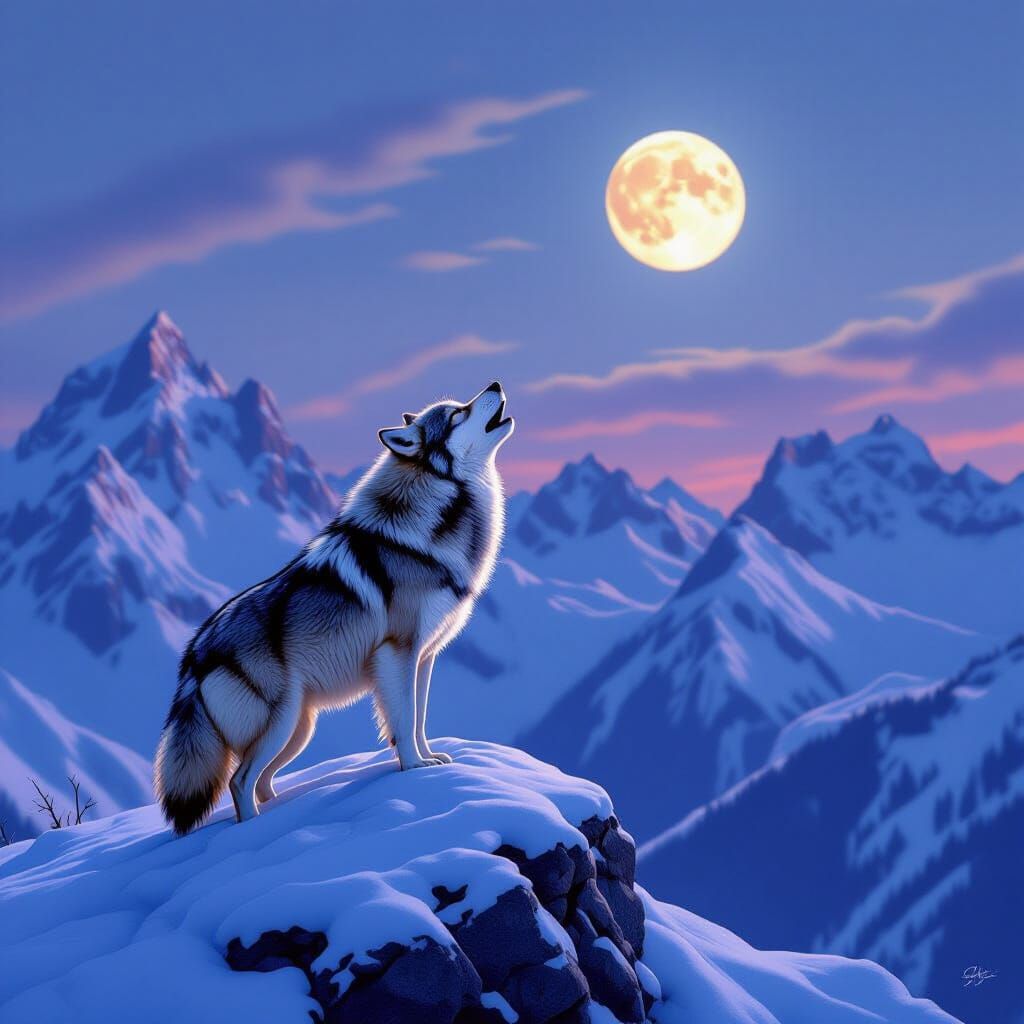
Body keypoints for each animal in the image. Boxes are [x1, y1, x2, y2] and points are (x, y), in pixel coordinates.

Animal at [154, 381, 513, 835]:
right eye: (456, 415)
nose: (495, 384)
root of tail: (193, 657)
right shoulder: (398, 652)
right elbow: (403, 720)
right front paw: (414, 768)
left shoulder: (425, 657)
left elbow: (419, 718)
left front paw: (430, 759)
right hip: (282, 724)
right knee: (239, 782)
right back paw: (256, 829)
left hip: (298, 729)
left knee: (262, 783)